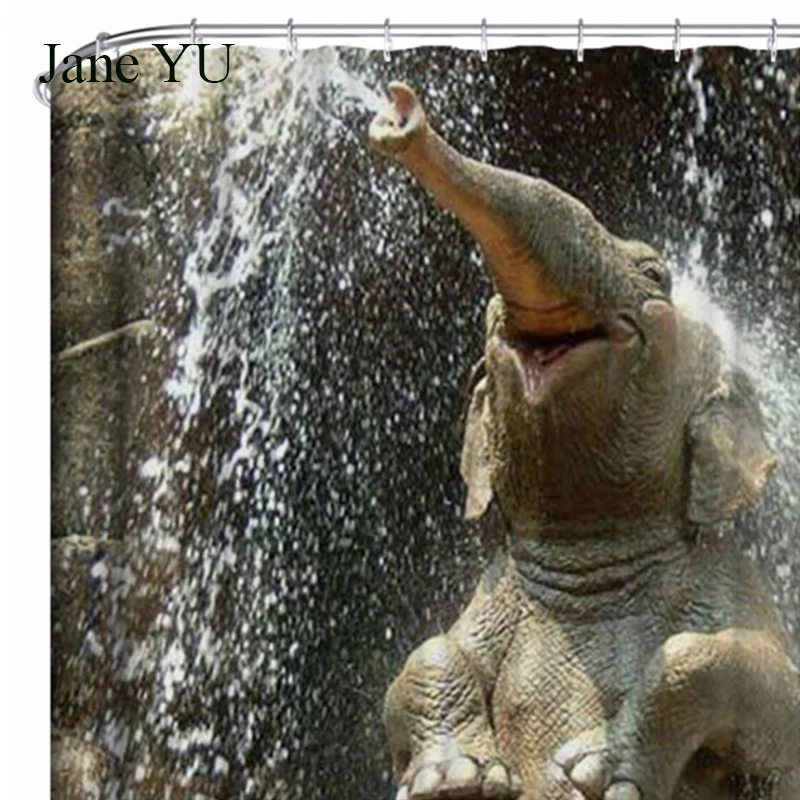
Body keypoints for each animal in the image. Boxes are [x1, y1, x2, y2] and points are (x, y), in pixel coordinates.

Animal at [367, 82, 800, 800]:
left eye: (655, 274)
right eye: (491, 317)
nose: (399, 114)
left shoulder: (725, 581)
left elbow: (764, 684)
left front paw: (595, 769)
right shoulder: (492, 602)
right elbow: (429, 652)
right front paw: (453, 782)